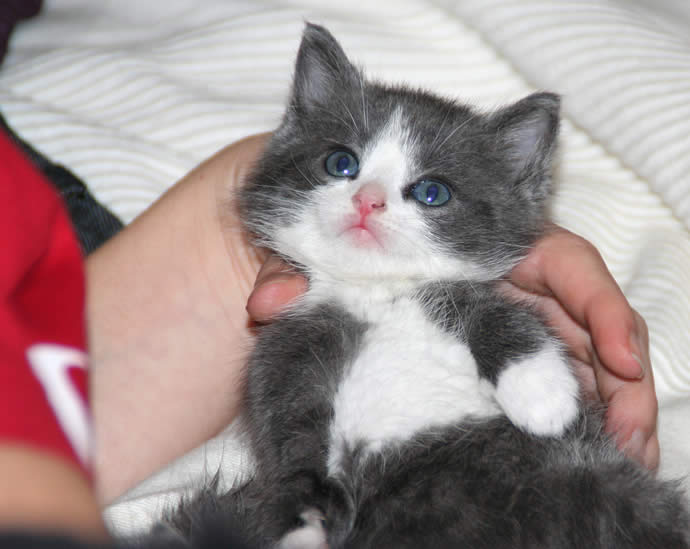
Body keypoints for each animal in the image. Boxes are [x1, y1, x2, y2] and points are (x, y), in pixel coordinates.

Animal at [157, 23, 688, 548]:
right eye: (341, 163)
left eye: (432, 192)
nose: (369, 201)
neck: (375, 297)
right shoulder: (285, 359)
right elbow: (293, 457)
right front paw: (302, 527)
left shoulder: (450, 294)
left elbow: (501, 313)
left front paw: (544, 398)